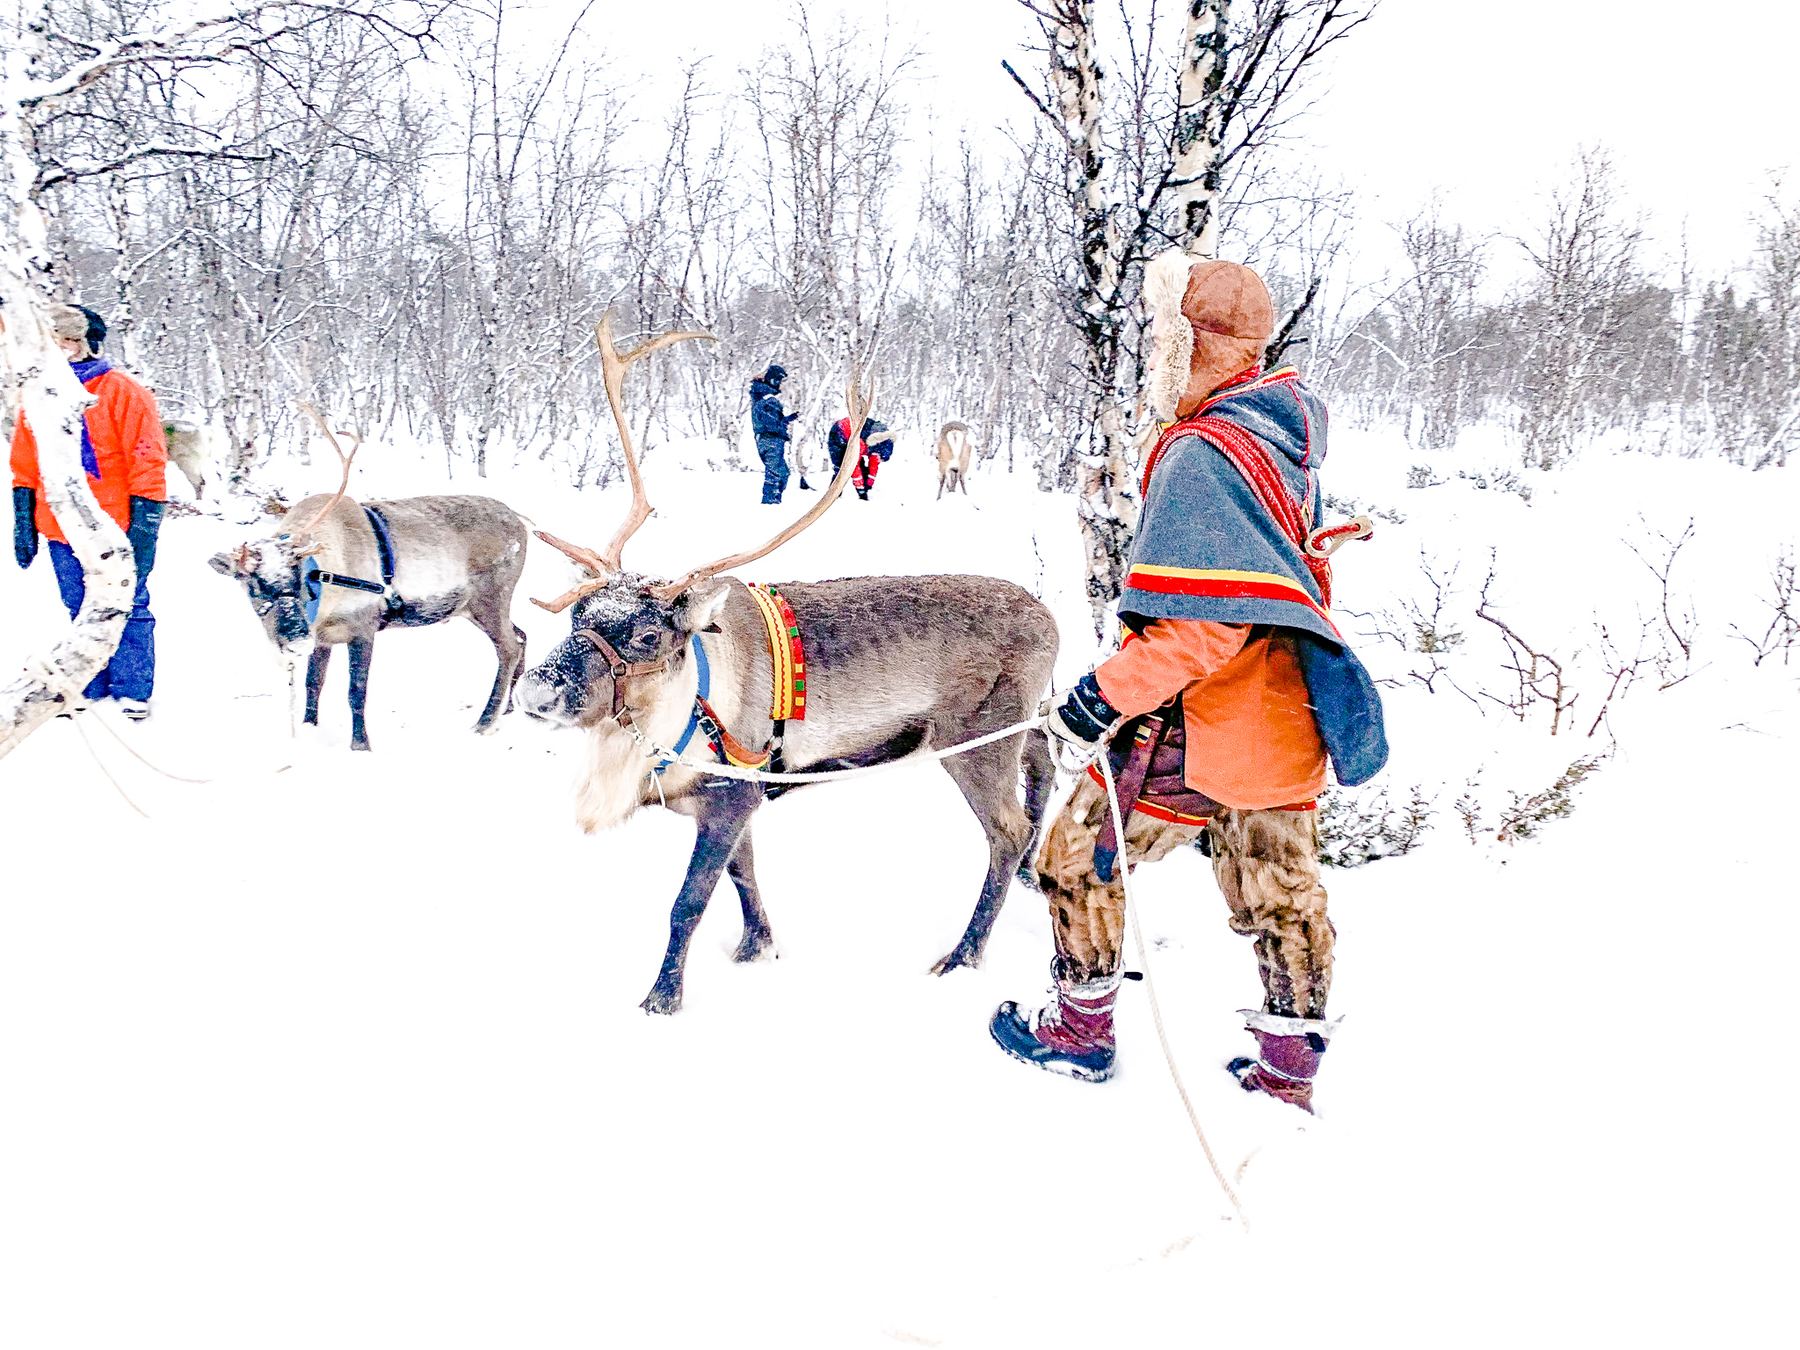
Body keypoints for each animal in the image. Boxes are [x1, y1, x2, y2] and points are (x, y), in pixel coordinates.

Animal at [209, 406, 530, 751]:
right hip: (473, 609)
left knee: (508, 648)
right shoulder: (323, 637)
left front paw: (360, 745)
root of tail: (521, 523)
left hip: (490, 599)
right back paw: (508, 708)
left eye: (302, 580)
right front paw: (309, 727)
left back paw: (484, 721)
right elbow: (313, 683)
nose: (294, 640)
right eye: (251, 585)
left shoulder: (364, 628)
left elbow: (356, 692)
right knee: (521, 636)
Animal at [516, 318, 1059, 1014]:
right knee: (1045, 763)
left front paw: (661, 999)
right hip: (1020, 722)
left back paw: (962, 956)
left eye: (645, 634)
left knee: (1007, 830)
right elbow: (744, 875)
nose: (535, 693)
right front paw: (757, 947)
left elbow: (688, 903)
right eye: (578, 615)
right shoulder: (732, 804)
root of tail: (1053, 620)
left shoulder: (730, 797)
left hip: (975, 743)